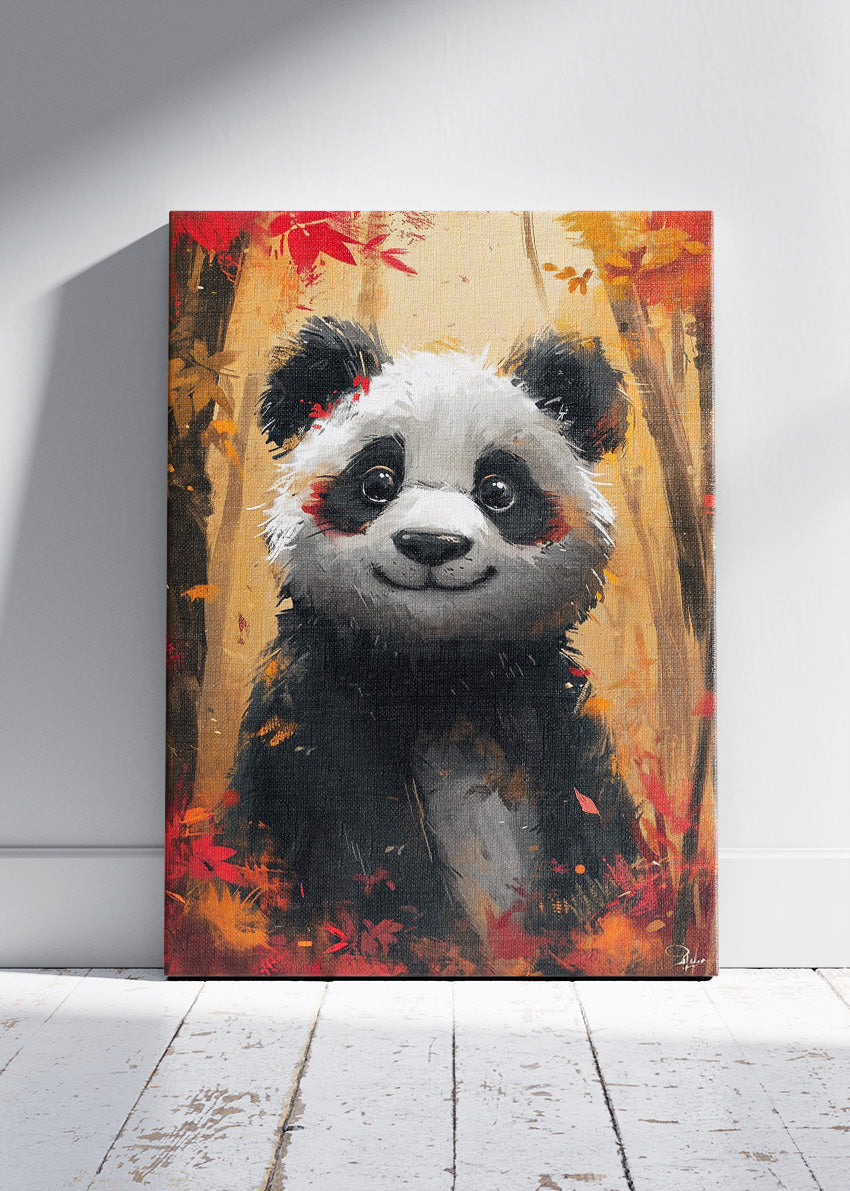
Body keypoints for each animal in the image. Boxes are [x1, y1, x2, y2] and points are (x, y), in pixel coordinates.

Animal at [230, 315, 638, 971]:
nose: (431, 543)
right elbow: (363, 855)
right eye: (377, 480)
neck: (438, 671)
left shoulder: (551, 716)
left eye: (498, 490)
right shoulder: (312, 716)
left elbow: (596, 845)